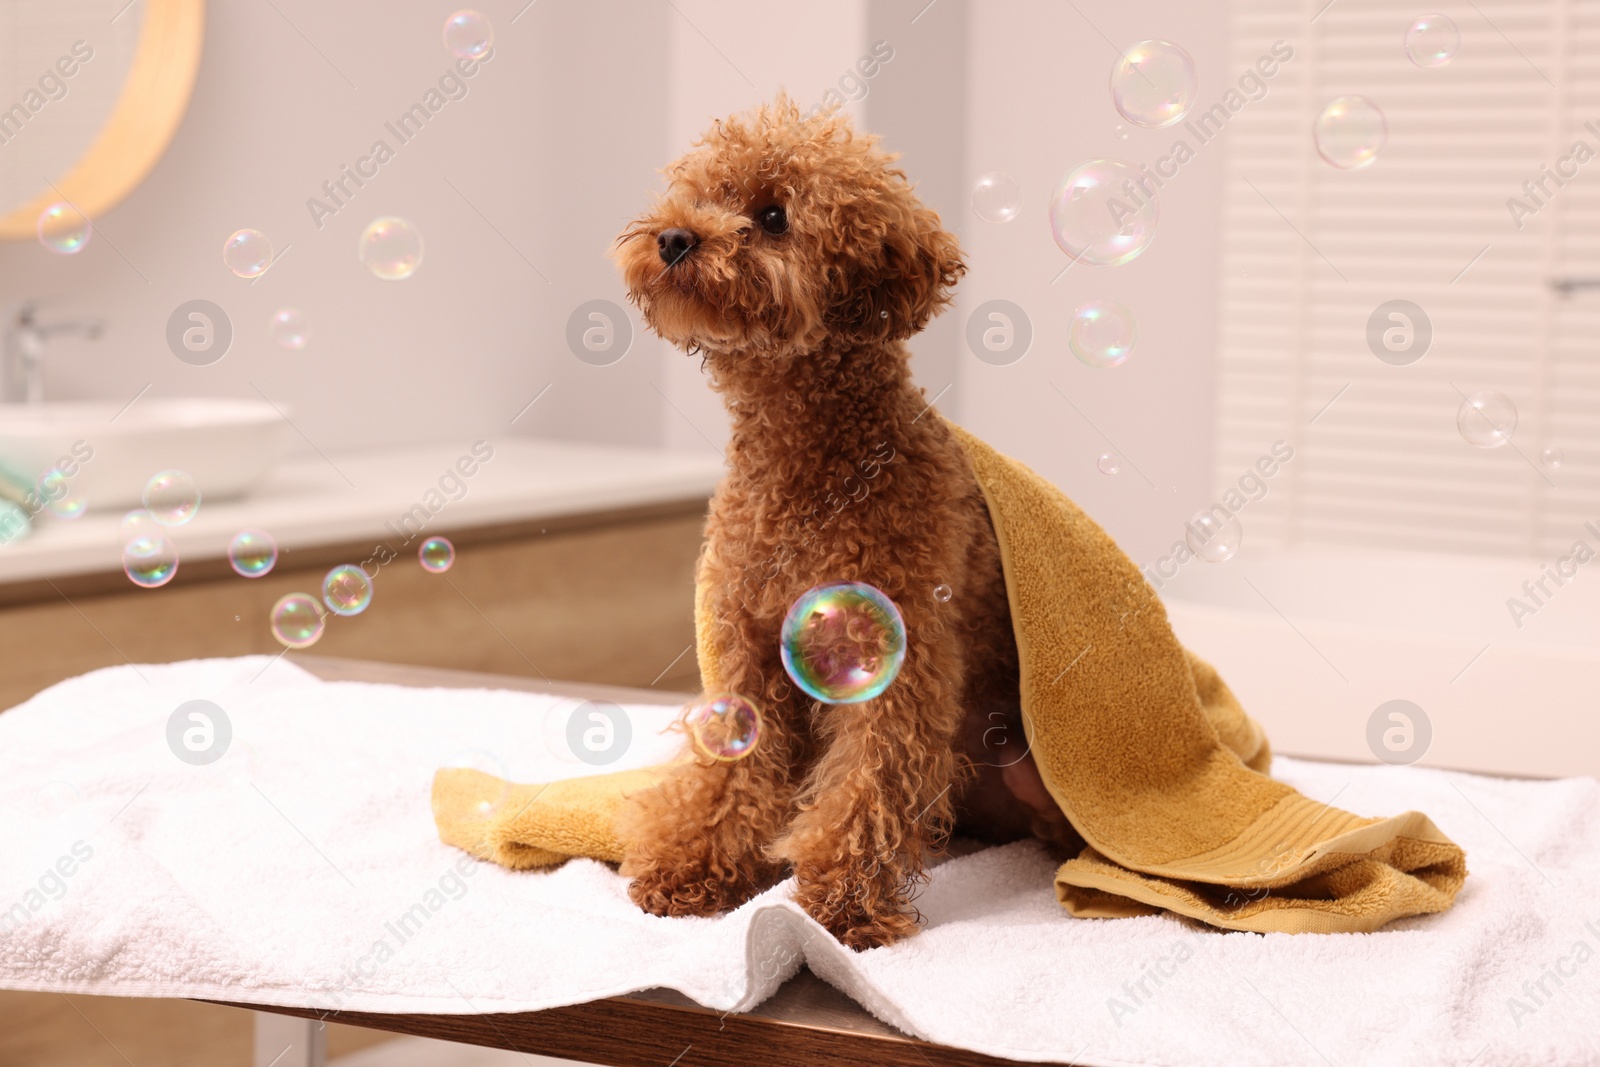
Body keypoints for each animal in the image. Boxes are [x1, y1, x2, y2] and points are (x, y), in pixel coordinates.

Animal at [608, 97, 1075, 953]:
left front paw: (844, 904)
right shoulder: (748, 649)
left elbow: (869, 780)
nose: (675, 238)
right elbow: (731, 768)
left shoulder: (890, 656)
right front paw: (693, 868)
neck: (804, 468)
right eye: (702, 194)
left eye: (772, 216)